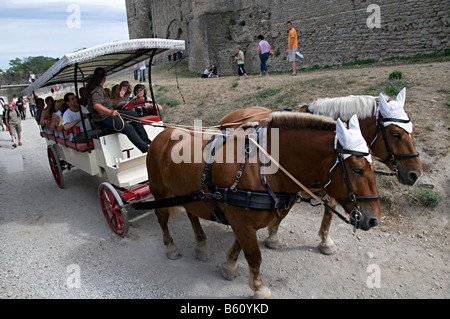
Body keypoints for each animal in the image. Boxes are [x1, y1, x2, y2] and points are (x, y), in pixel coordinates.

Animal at [147, 112, 380, 300]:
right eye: (357, 169)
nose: (373, 219)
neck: (263, 168)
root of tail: (163, 134)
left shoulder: (245, 222)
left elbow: (240, 247)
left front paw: (229, 265)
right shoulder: (241, 221)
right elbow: (254, 256)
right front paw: (259, 288)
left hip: (188, 195)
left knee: (192, 214)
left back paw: (201, 244)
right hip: (160, 192)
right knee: (161, 217)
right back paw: (171, 246)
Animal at [215, 88, 422, 255]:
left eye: (412, 129)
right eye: (396, 133)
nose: (415, 174)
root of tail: (231, 116)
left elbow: (330, 207)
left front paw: (325, 241)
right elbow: (287, 208)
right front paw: (273, 236)